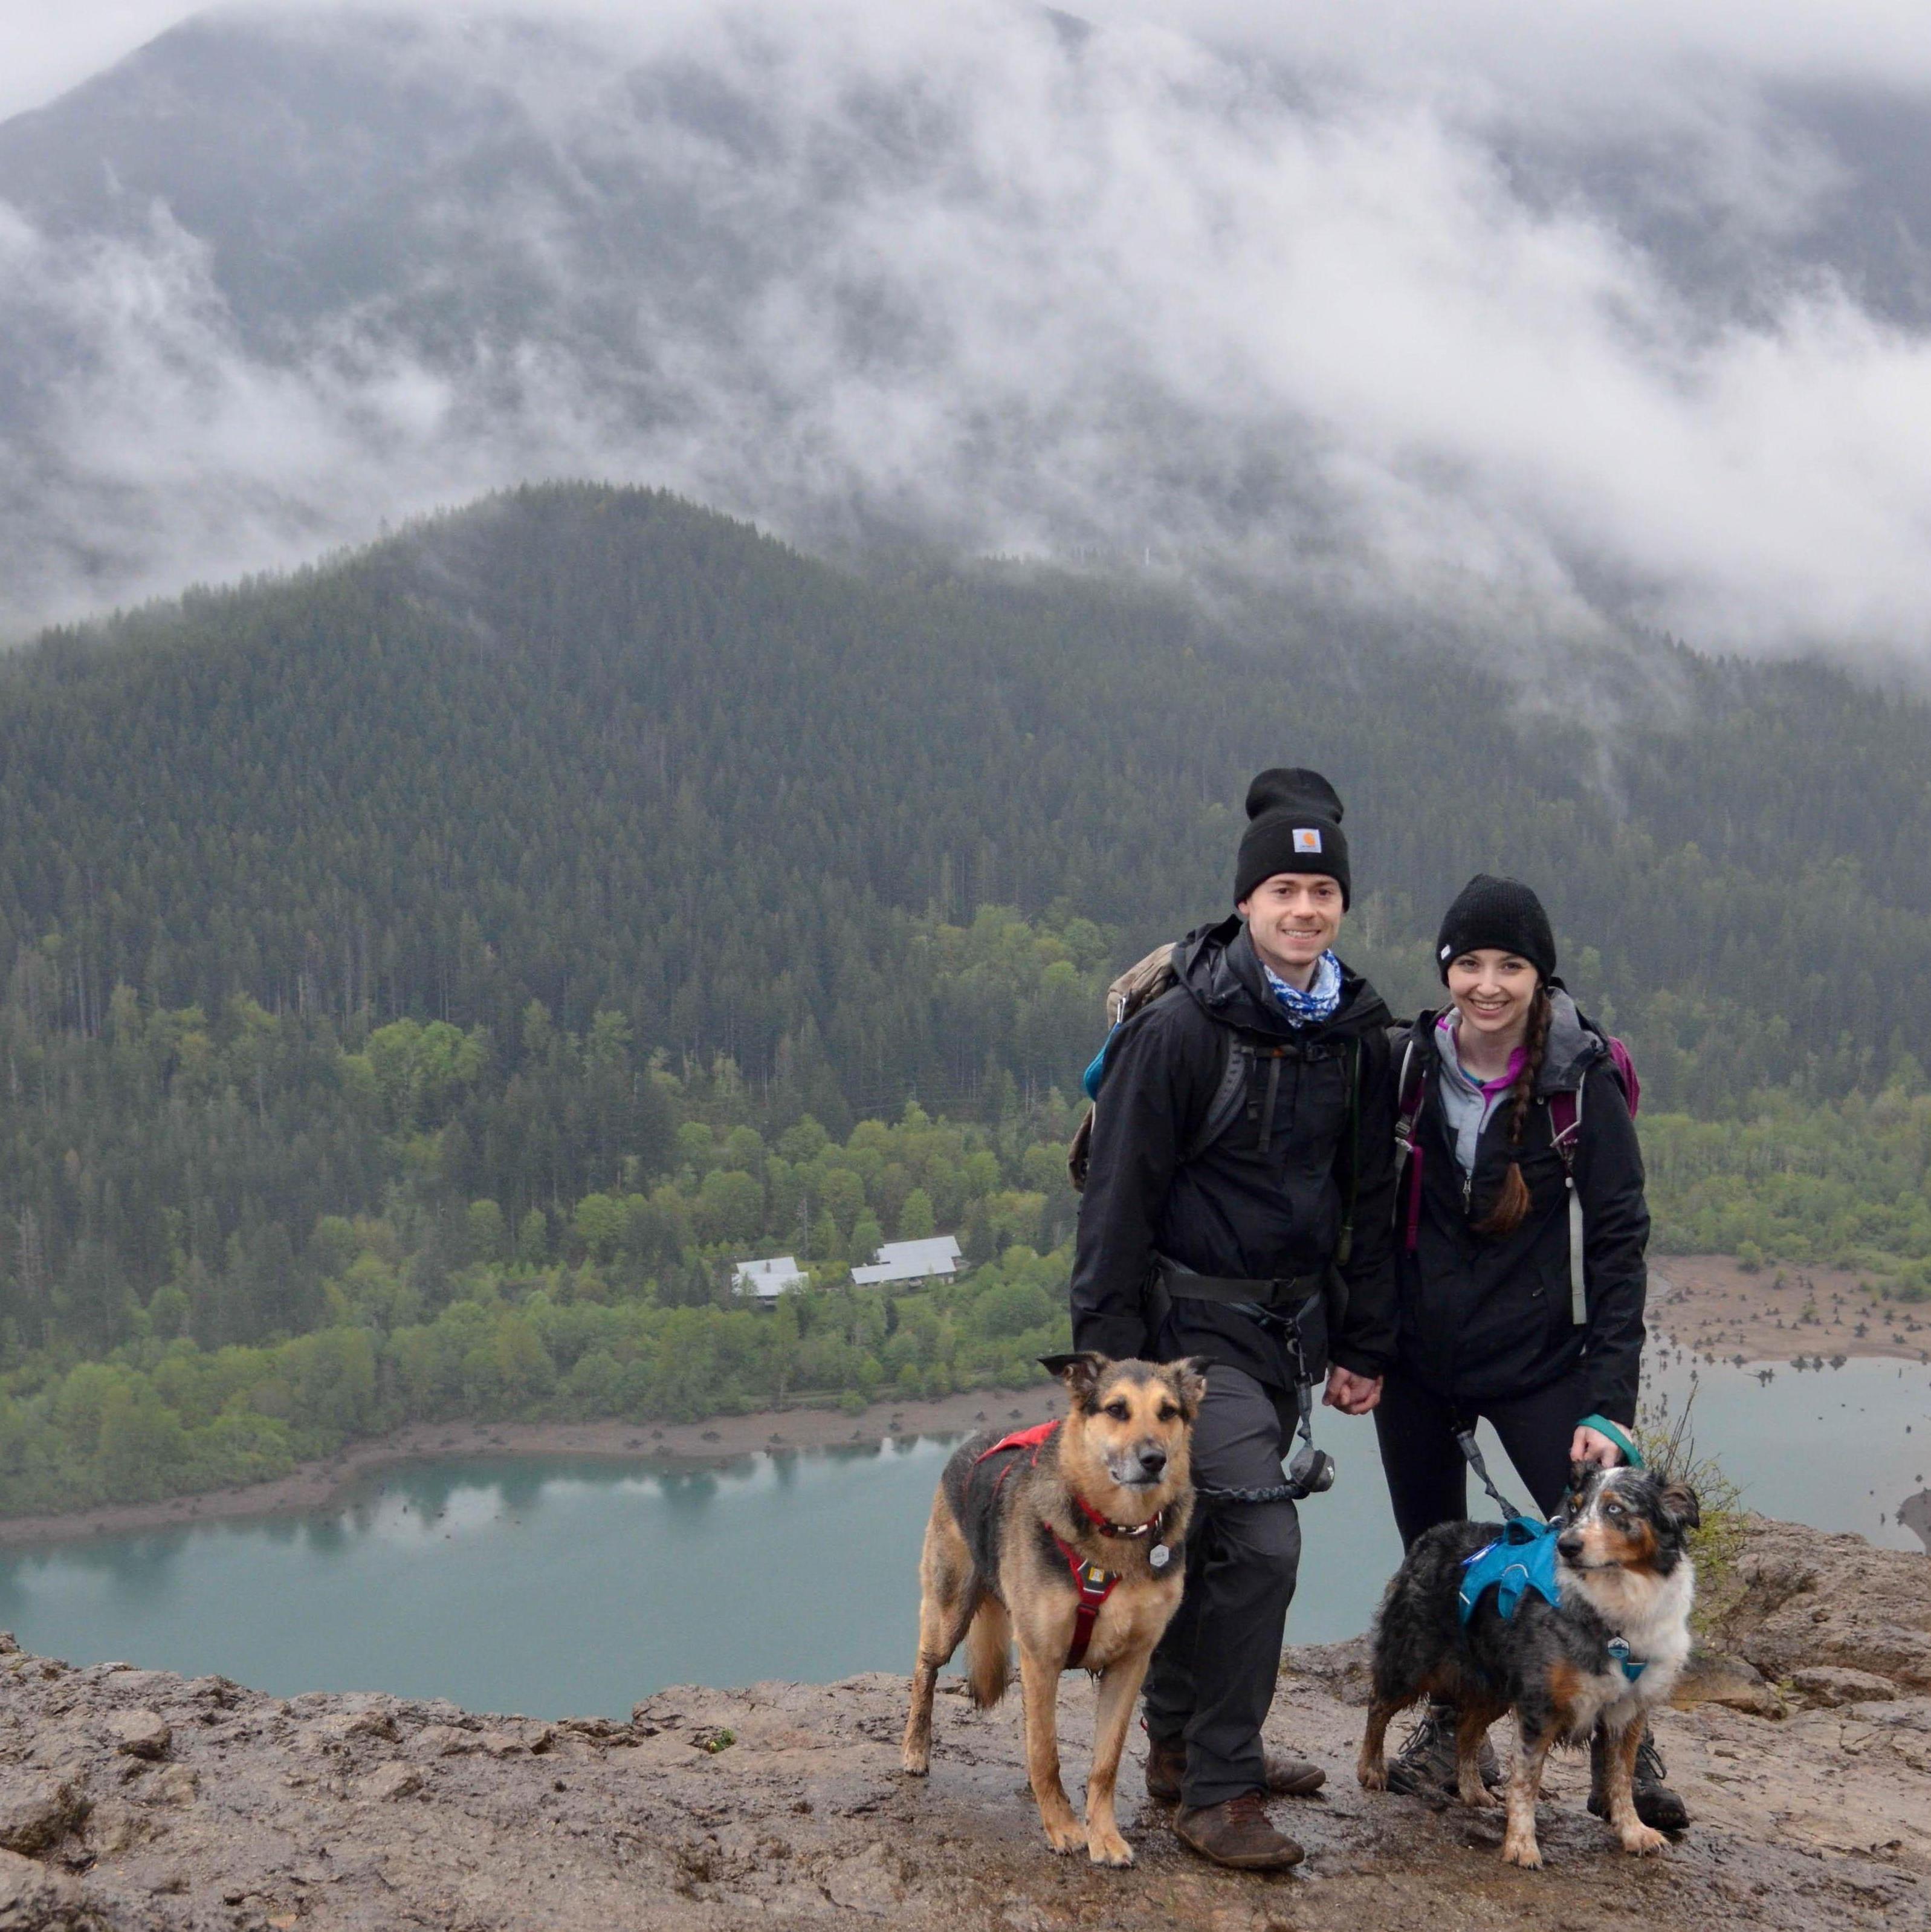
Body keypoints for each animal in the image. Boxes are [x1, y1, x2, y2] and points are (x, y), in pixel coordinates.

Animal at [896, 1352, 1197, 1862]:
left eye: (1168, 1412)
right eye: (1117, 1409)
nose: (1154, 1460)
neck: (1115, 1531)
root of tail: (975, 1438)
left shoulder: (1129, 1664)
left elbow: (1104, 1762)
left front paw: (1103, 1835)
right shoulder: (1041, 1657)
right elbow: (1046, 1755)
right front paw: (1062, 1827)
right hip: (949, 1611)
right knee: (924, 1671)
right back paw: (915, 1749)